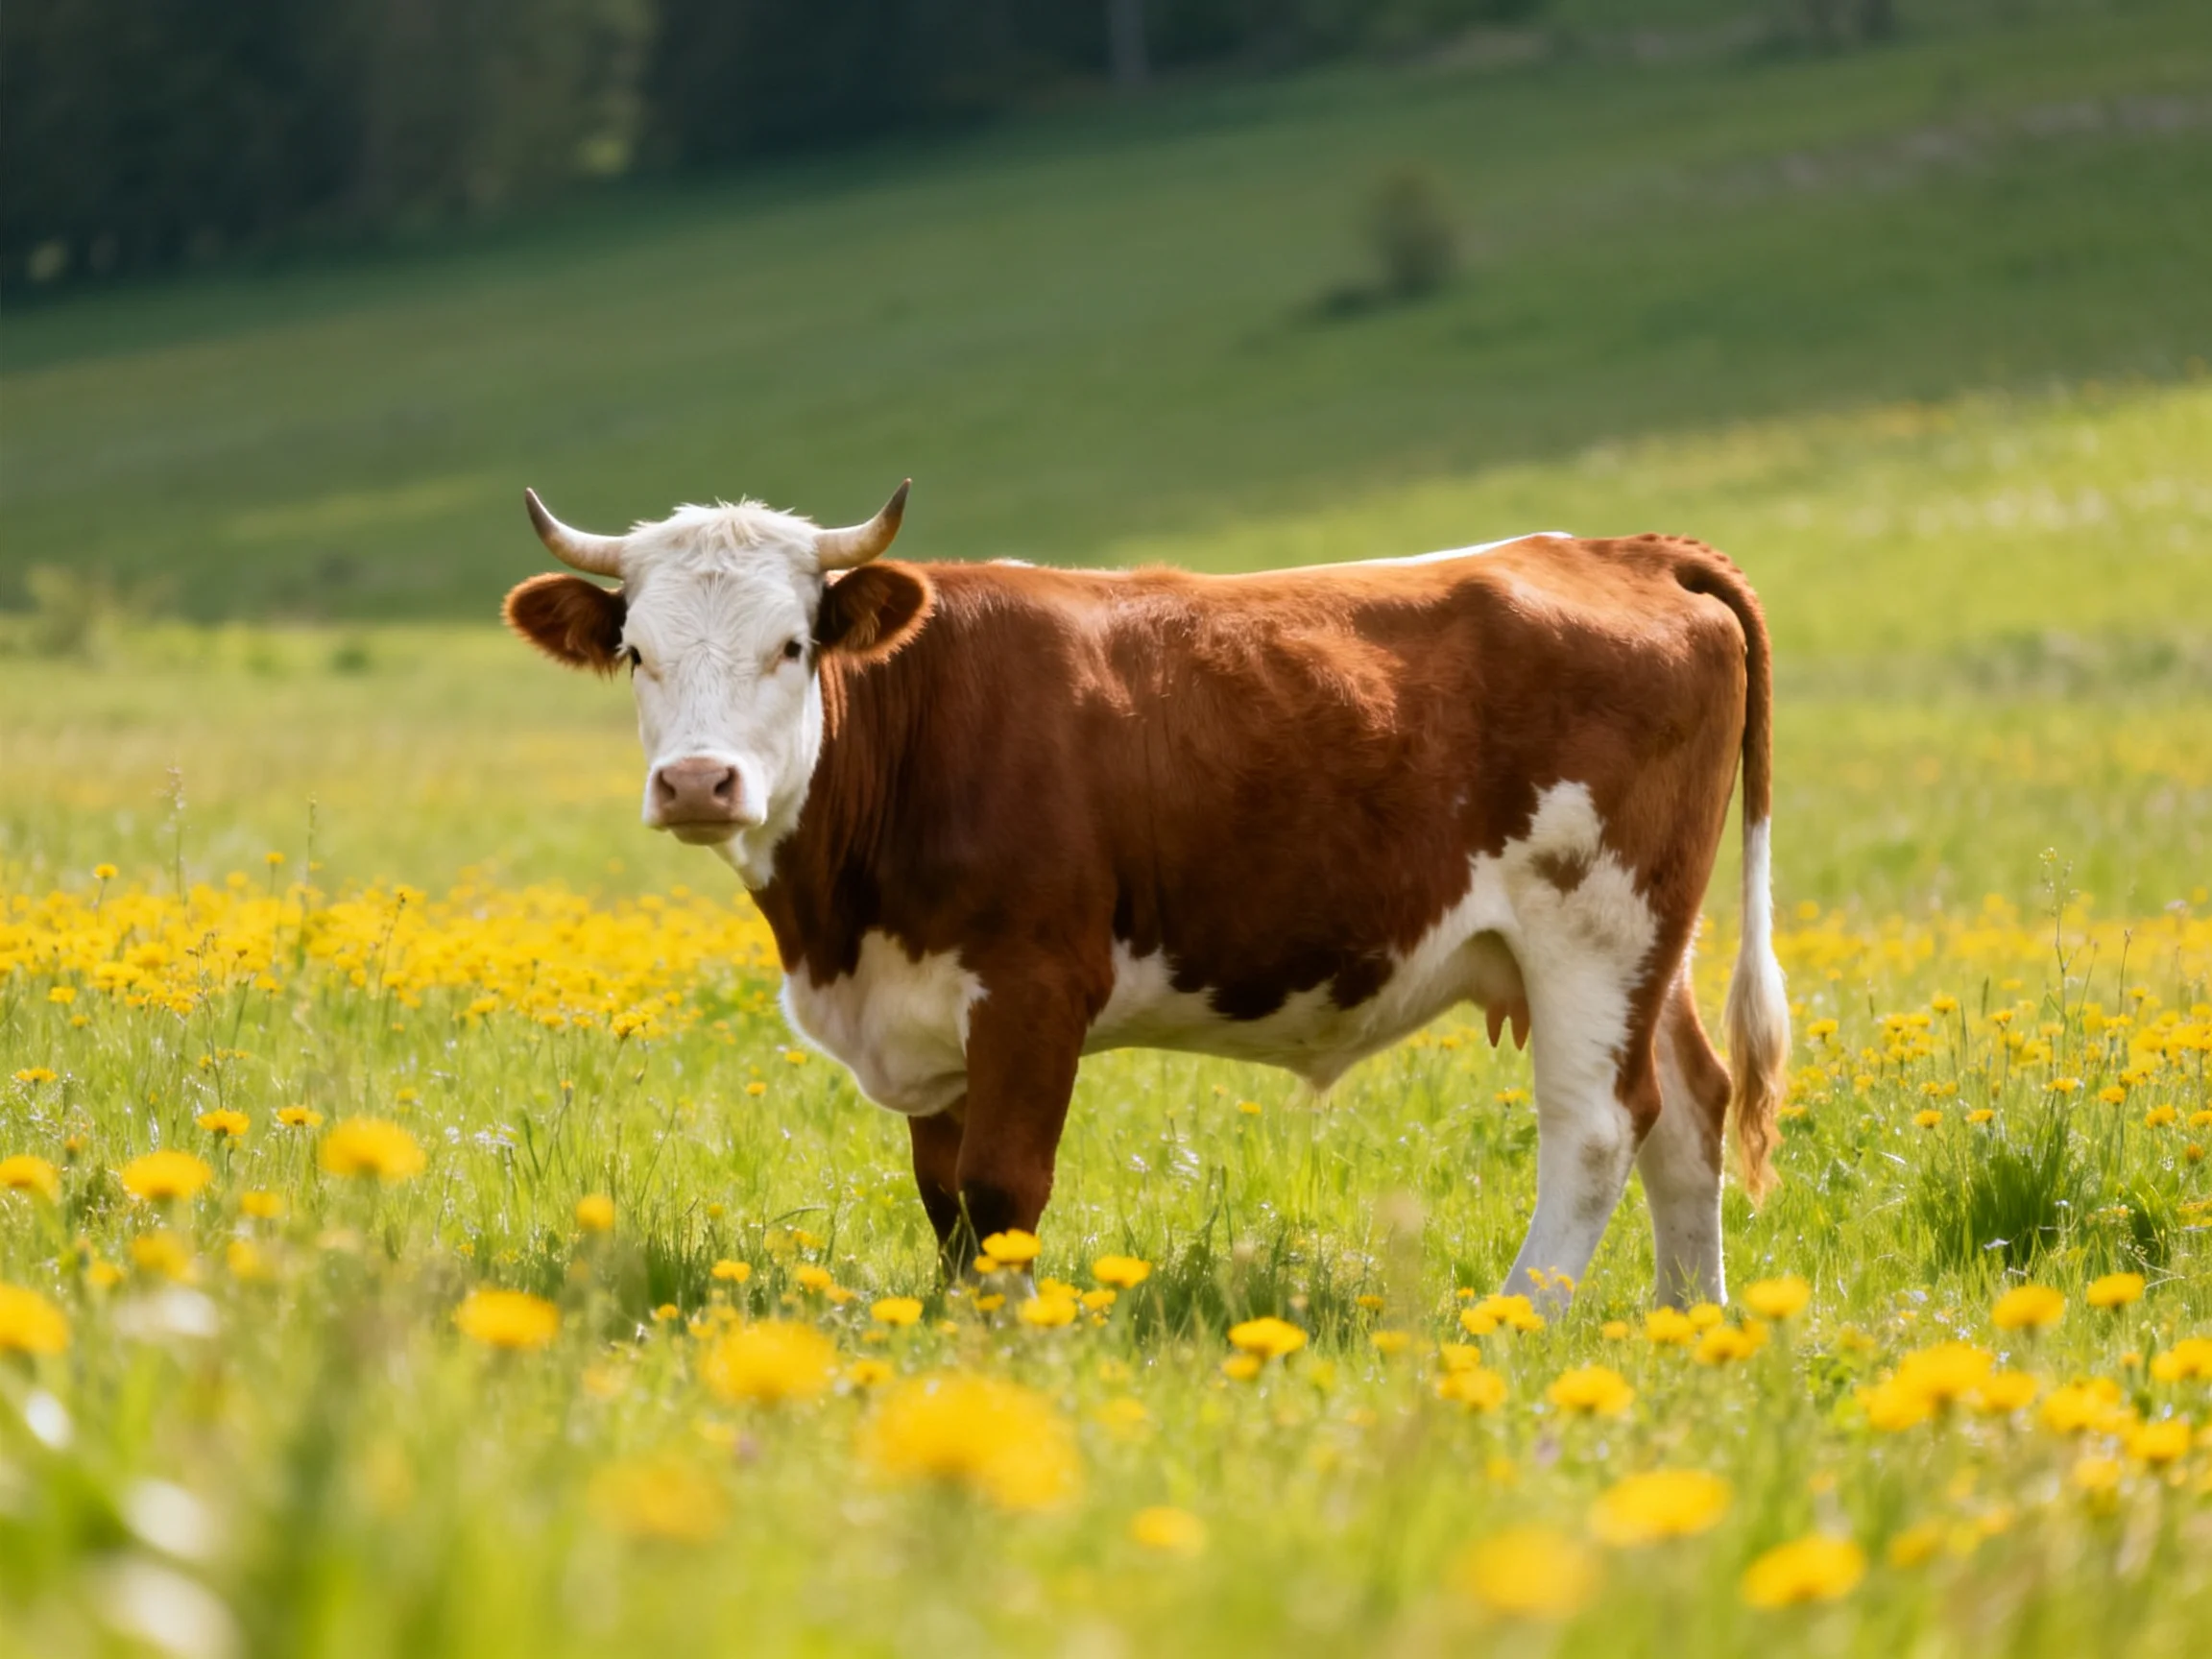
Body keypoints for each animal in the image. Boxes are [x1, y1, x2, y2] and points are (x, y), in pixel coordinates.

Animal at [503, 482, 1789, 1307]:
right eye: (635, 653)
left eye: (790, 645)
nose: (697, 781)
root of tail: (1627, 549)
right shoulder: (922, 1006)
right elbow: (944, 1198)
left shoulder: (1031, 984)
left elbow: (1002, 1189)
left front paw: (1005, 1346)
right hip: (1651, 939)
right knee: (1690, 1107)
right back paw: (1690, 1326)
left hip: (1592, 926)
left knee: (1598, 1126)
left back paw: (1520, 1321)